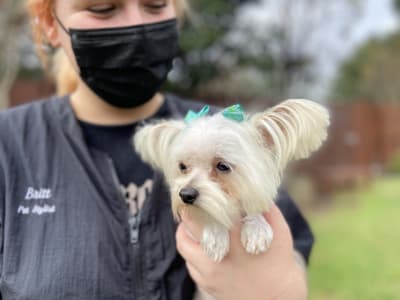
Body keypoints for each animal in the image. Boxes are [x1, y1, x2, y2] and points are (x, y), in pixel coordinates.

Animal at [134, 99, 328, 262]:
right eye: (182, 166)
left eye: (222, 166)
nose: (186, 194)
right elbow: (214, 212)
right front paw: (215, 234)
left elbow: (253, 208)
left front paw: (256, 230)